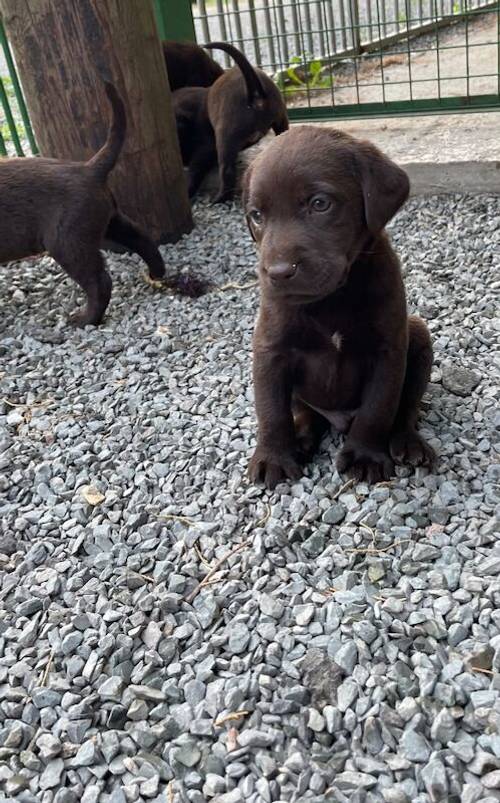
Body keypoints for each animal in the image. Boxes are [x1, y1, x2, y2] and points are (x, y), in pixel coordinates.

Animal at [0, 81, 167, 326]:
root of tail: (89, 169)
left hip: (66, 241)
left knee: (99, 282)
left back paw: (85, 319)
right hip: (106, 221)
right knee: (141, 238)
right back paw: (157, 273)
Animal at [173, 42, 288, 203]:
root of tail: (255, 94)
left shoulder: (206, 146)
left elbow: (195, 169)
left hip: (226, 137)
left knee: (226, 171)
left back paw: (219, 198)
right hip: (281, 120)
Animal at [244, 129, 436, 486]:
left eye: (320, 203)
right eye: (257, 215)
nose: (278, 272)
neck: (331, 298)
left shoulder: (387, 351)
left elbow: (377, 409)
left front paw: (364, 455)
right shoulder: (270, 350)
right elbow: (272, 411)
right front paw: (273, 457)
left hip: (417, 334)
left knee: (406, 409)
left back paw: (409, 443)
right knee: (306, 413)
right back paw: (301, 439)